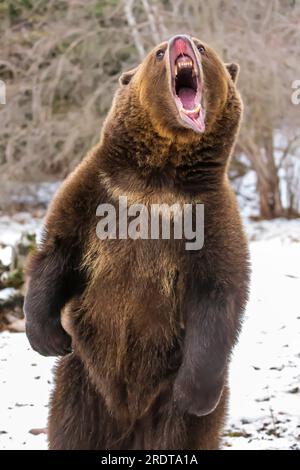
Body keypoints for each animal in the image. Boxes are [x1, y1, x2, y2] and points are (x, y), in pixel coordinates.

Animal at [23, 35, 250, 450]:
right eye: (158, 52)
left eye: (203, 48)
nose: (181, 40)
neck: (156, 180)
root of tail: (128, 421)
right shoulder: (97, 193)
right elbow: (58, 252)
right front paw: (48, 337)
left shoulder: (208, 216)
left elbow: (218, 293)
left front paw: (193, 394)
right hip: (82, 382)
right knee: (71, 429)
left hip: (162, 401)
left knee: (179, 435)